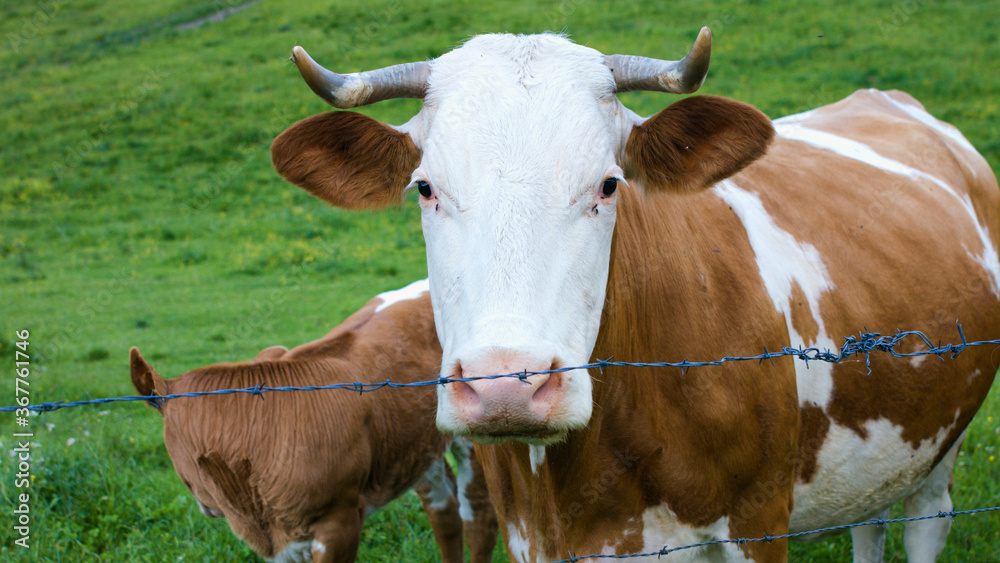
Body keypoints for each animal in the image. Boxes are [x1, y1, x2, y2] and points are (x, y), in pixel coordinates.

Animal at [270, 28, 1000, 562]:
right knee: (867, 526)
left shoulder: (758, 520)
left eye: (608, 183)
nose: (508, 386)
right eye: (424, 187)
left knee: (924, 521)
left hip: (943, 440)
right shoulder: (529, 536)